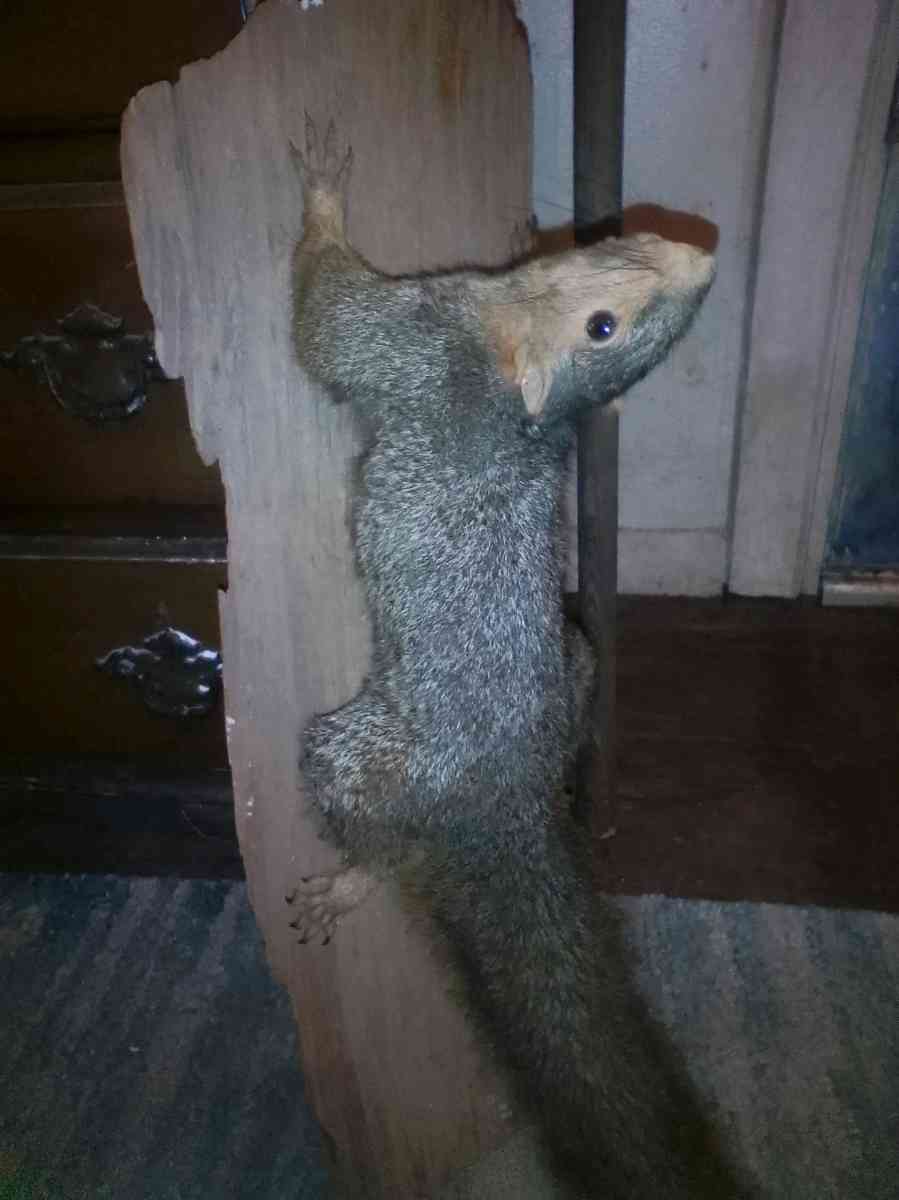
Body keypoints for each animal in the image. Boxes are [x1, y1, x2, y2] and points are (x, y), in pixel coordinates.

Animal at [286, 118, 741, 1199]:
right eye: (606, 330)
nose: (703, 255)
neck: (514, 385)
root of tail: (506, 807)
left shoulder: (416, 337)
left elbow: (328, 317)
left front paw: (324, 190)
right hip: (571, 657)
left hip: (355, 757)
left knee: (370, 835)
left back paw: (349, 879)